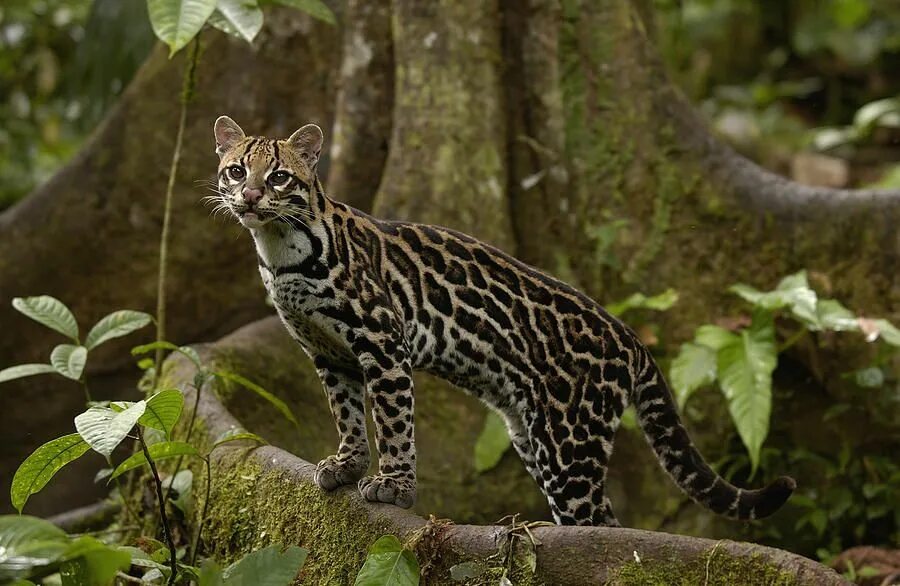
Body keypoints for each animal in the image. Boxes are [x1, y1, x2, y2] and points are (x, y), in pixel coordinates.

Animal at [206, 115, 796, 524]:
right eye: (236, 170)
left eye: (280, 177)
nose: (250, 196)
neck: (280, 249)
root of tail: (628, 336)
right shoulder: (329, 353)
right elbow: (347, 414)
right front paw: (347, 465)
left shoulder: (382, 343)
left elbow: (393, 422)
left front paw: (394, 485)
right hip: (530, 434)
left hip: (569, 445)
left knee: (599, 525)